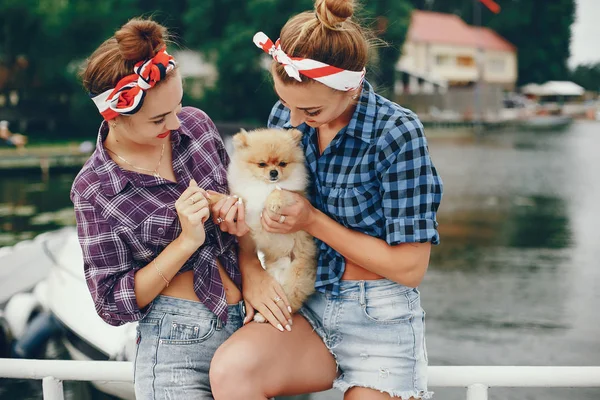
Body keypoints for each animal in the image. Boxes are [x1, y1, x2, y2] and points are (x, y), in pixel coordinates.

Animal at [209, 130, 316, 324]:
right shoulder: (246, 204)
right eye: (261, 164)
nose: (274, 172)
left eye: (282, 164)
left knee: (290, 302)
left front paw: (273, 201)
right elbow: (232, 199)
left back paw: (263, 317)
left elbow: (280, 192)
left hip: (294, 277)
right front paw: (213, 199)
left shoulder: (295, 197)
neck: (263, 186)